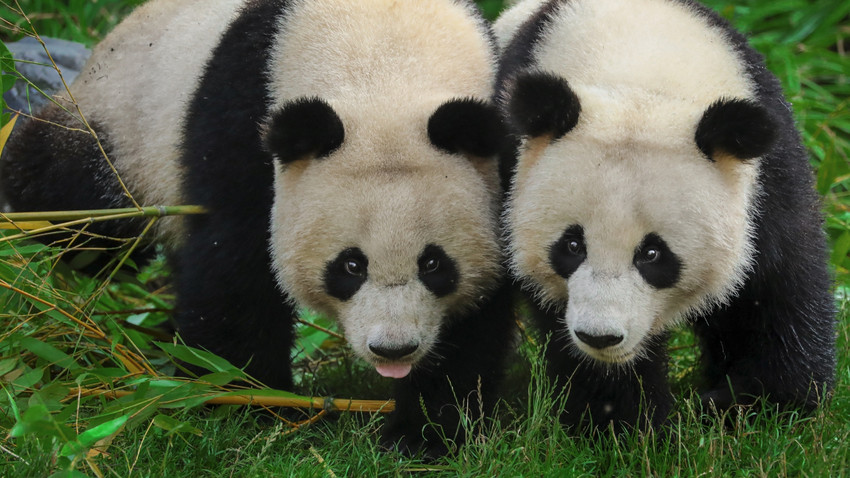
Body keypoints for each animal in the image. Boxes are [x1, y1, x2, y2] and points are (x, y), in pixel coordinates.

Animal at [494, 0, 832, 430]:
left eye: (653, 254)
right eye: (571, 246)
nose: (600, 337)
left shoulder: (769, 175)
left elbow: (774, 285)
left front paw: (761, 406)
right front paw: (621, 421)